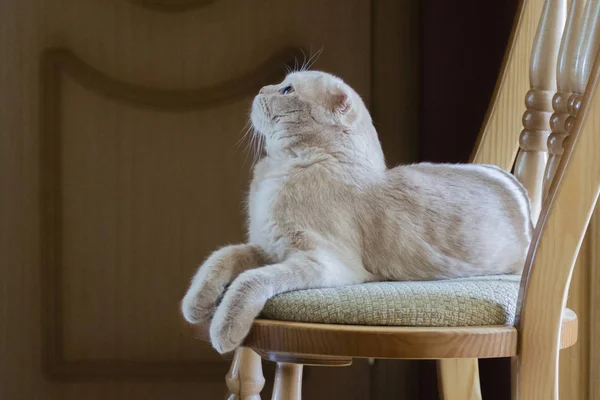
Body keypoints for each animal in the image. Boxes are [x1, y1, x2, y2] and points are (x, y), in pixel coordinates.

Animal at [180, 71, 532, 354]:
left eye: (286, 90)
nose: (261, 88)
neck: (281, 169)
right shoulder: (266, 247)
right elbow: (222, 256)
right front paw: (196, 305)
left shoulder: (322, 262)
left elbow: (248, 281)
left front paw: (223, 330)